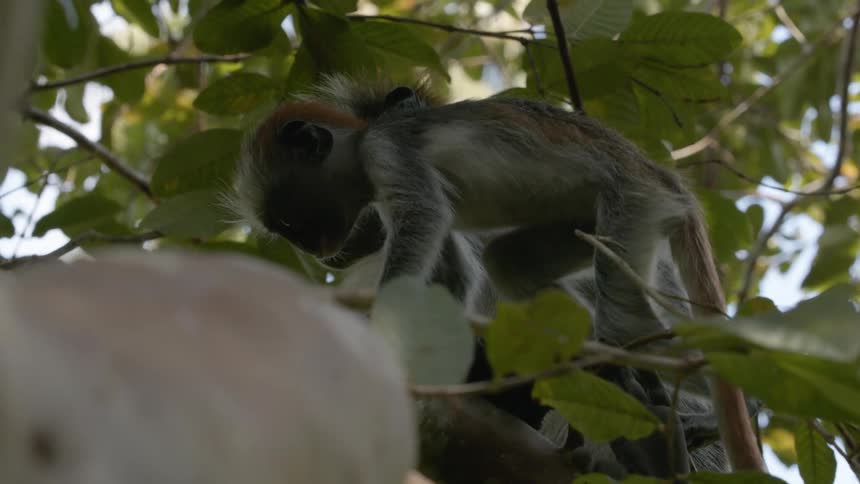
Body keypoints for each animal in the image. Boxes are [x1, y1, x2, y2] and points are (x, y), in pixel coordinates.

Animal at [228, 76, 761, 472]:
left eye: (290, 223)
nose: (317, 254)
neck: (361, 142)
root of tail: (667, 181)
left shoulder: (387, 152)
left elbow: (424, 218)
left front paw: (382, 334)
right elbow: (452, 275)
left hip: (634, 205)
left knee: (628, 328)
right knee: (512, 265)